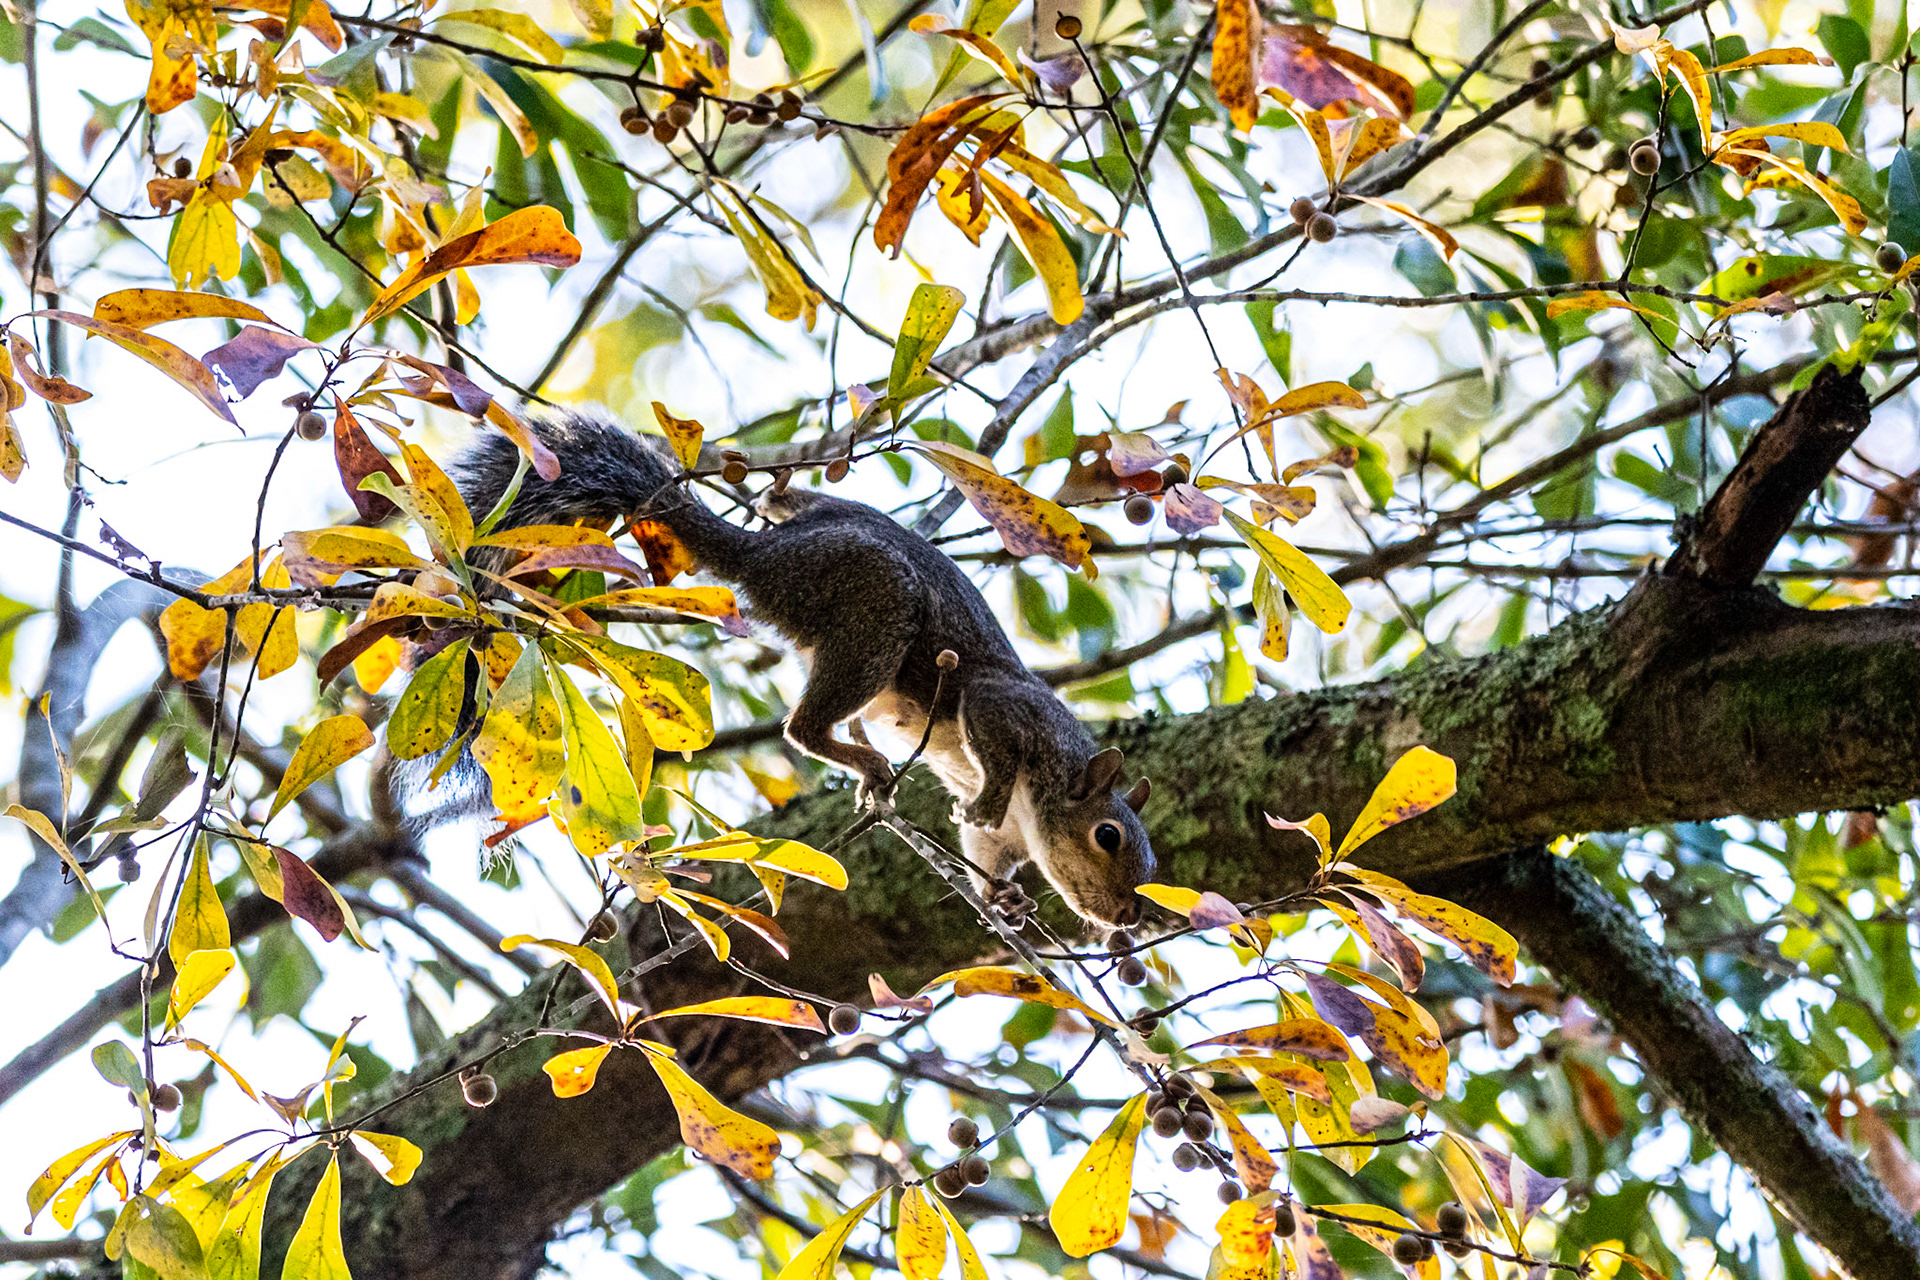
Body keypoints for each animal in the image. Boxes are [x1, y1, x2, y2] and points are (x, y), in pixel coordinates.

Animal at [453, 412, 1155, 929]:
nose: (1127, 919)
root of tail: (760, 555)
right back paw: (863, 761)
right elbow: (990, 737)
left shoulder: (1007, 843)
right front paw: (984, 801)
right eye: (1109, 836)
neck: (1038, 809)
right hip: (875, 605)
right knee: (801, 729)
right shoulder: (1004, 704)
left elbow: (983, 857)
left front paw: (1001, 900)